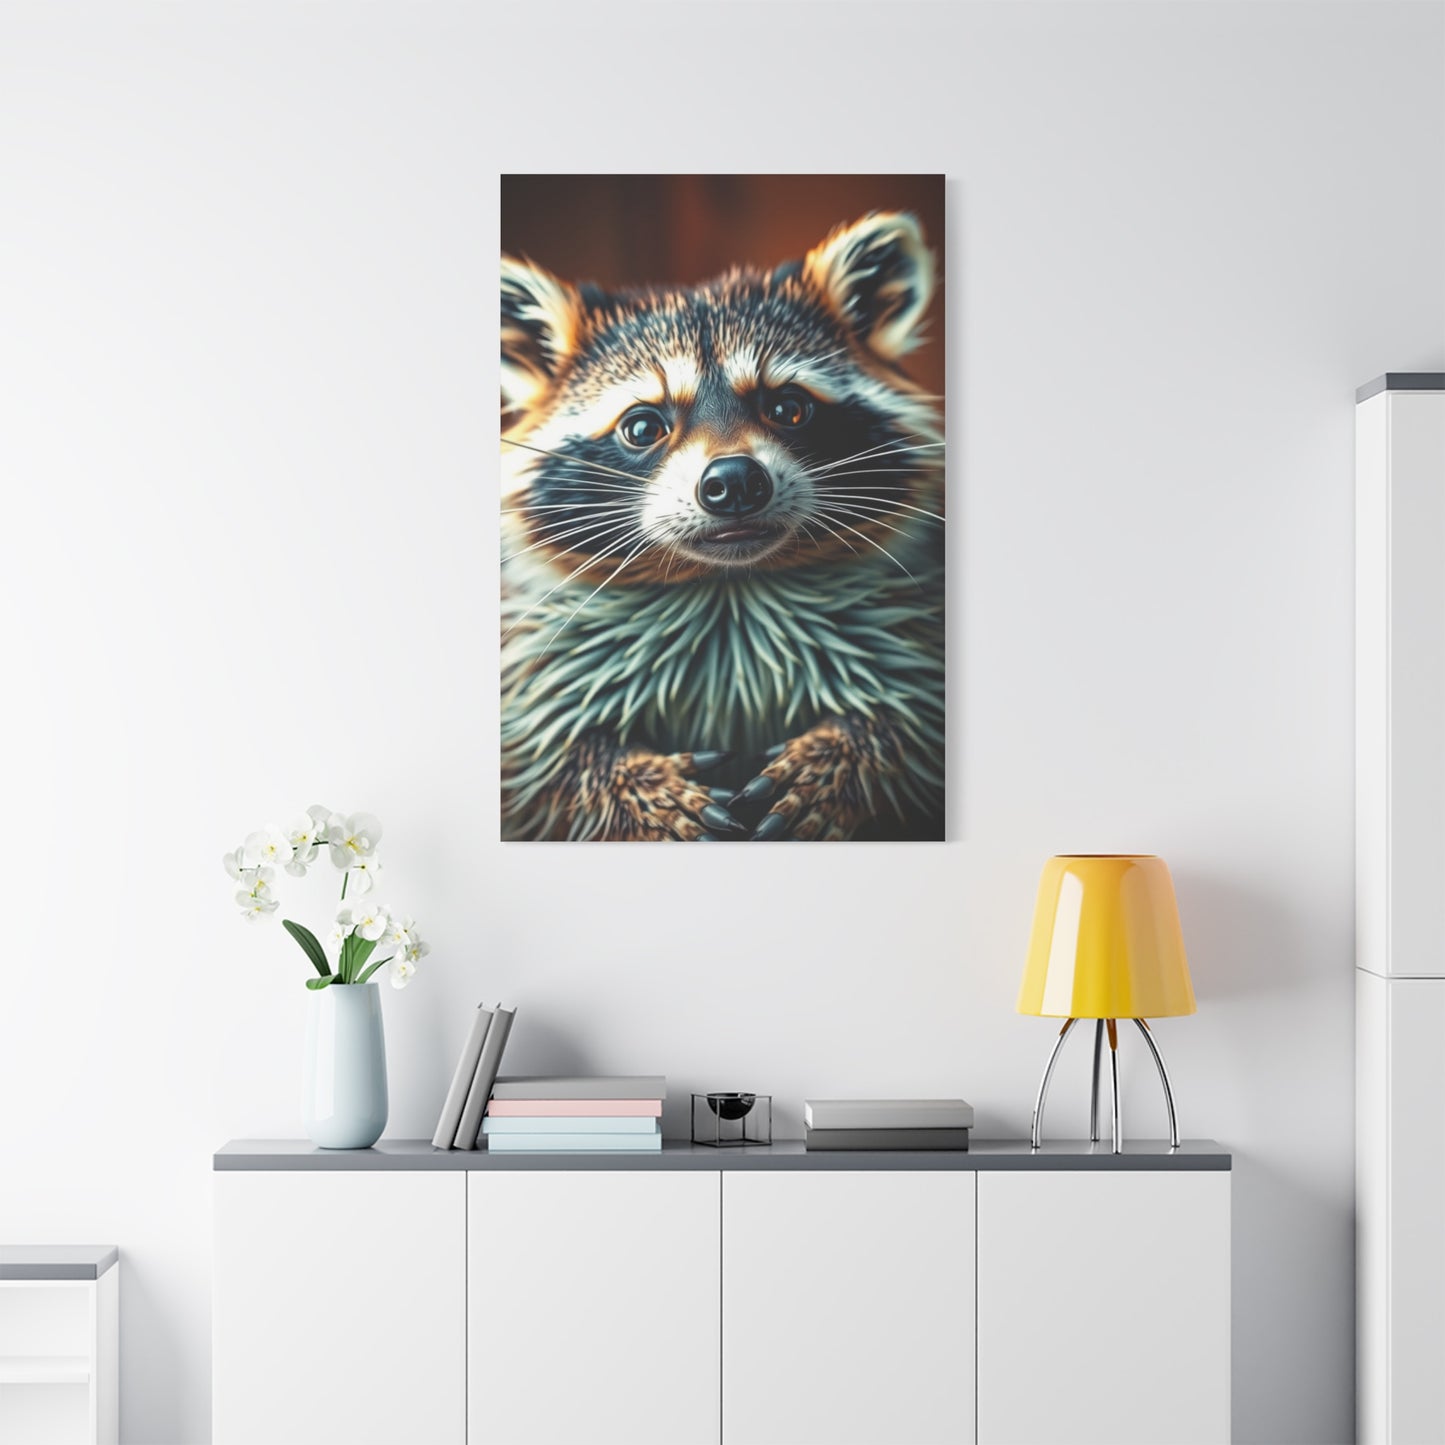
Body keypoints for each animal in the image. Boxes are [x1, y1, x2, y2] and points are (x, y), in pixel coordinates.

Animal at [500, 212, 944, 841]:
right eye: (643, 427)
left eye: (788, 408)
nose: (735, 482)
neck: (727, 586)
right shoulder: (536, 662)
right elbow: (545, 755)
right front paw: (631, 783)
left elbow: (910, 721)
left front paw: (847, 755)